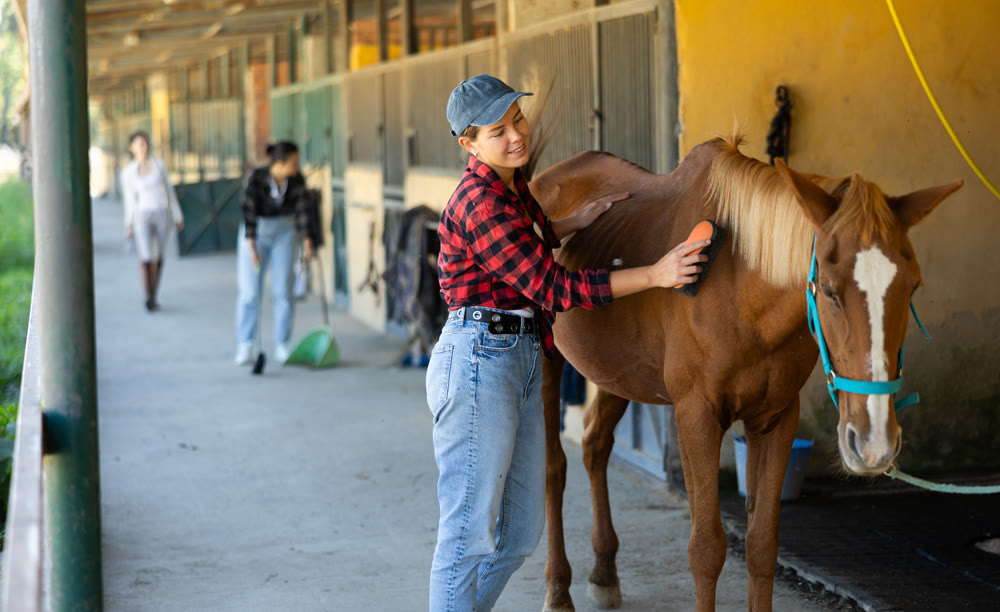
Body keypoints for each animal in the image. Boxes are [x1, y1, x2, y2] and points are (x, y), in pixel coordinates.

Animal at [527, 135, 962, 611]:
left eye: (912, 287)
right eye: (829, 291)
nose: (873, 442)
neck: (738, 284)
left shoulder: (774, 419)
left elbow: (762, 545)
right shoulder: (696, 417)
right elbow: (706, 550)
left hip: (619, 373)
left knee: (595, 445)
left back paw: (604, 573)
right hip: (547, 367)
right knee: (552, 469)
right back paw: (557, 588)